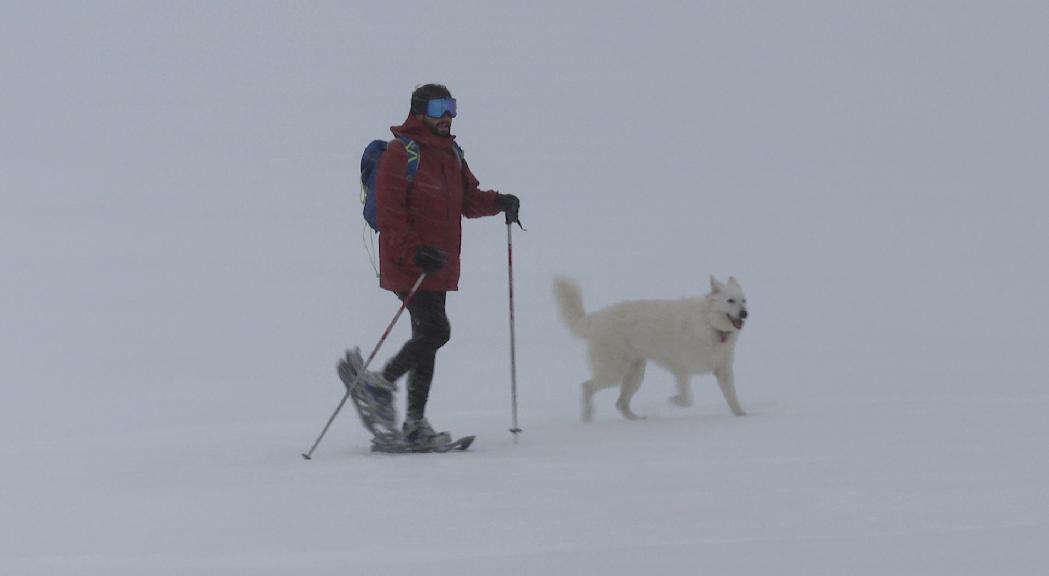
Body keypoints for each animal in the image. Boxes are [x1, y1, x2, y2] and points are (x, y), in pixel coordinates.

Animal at [558, 276, 746, 419]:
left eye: (744, 300)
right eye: (730, 300)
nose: (745, 313)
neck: (710, 324)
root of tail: (594, 319)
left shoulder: (723, 371)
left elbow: (733, 398)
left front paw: (743, 416)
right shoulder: (680, 368)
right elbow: (687, 399)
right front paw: (673, 400)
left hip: (635, 374)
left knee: (620, 404)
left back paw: (637, 420)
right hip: (614, 372)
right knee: (586, 387)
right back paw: (587, 418)